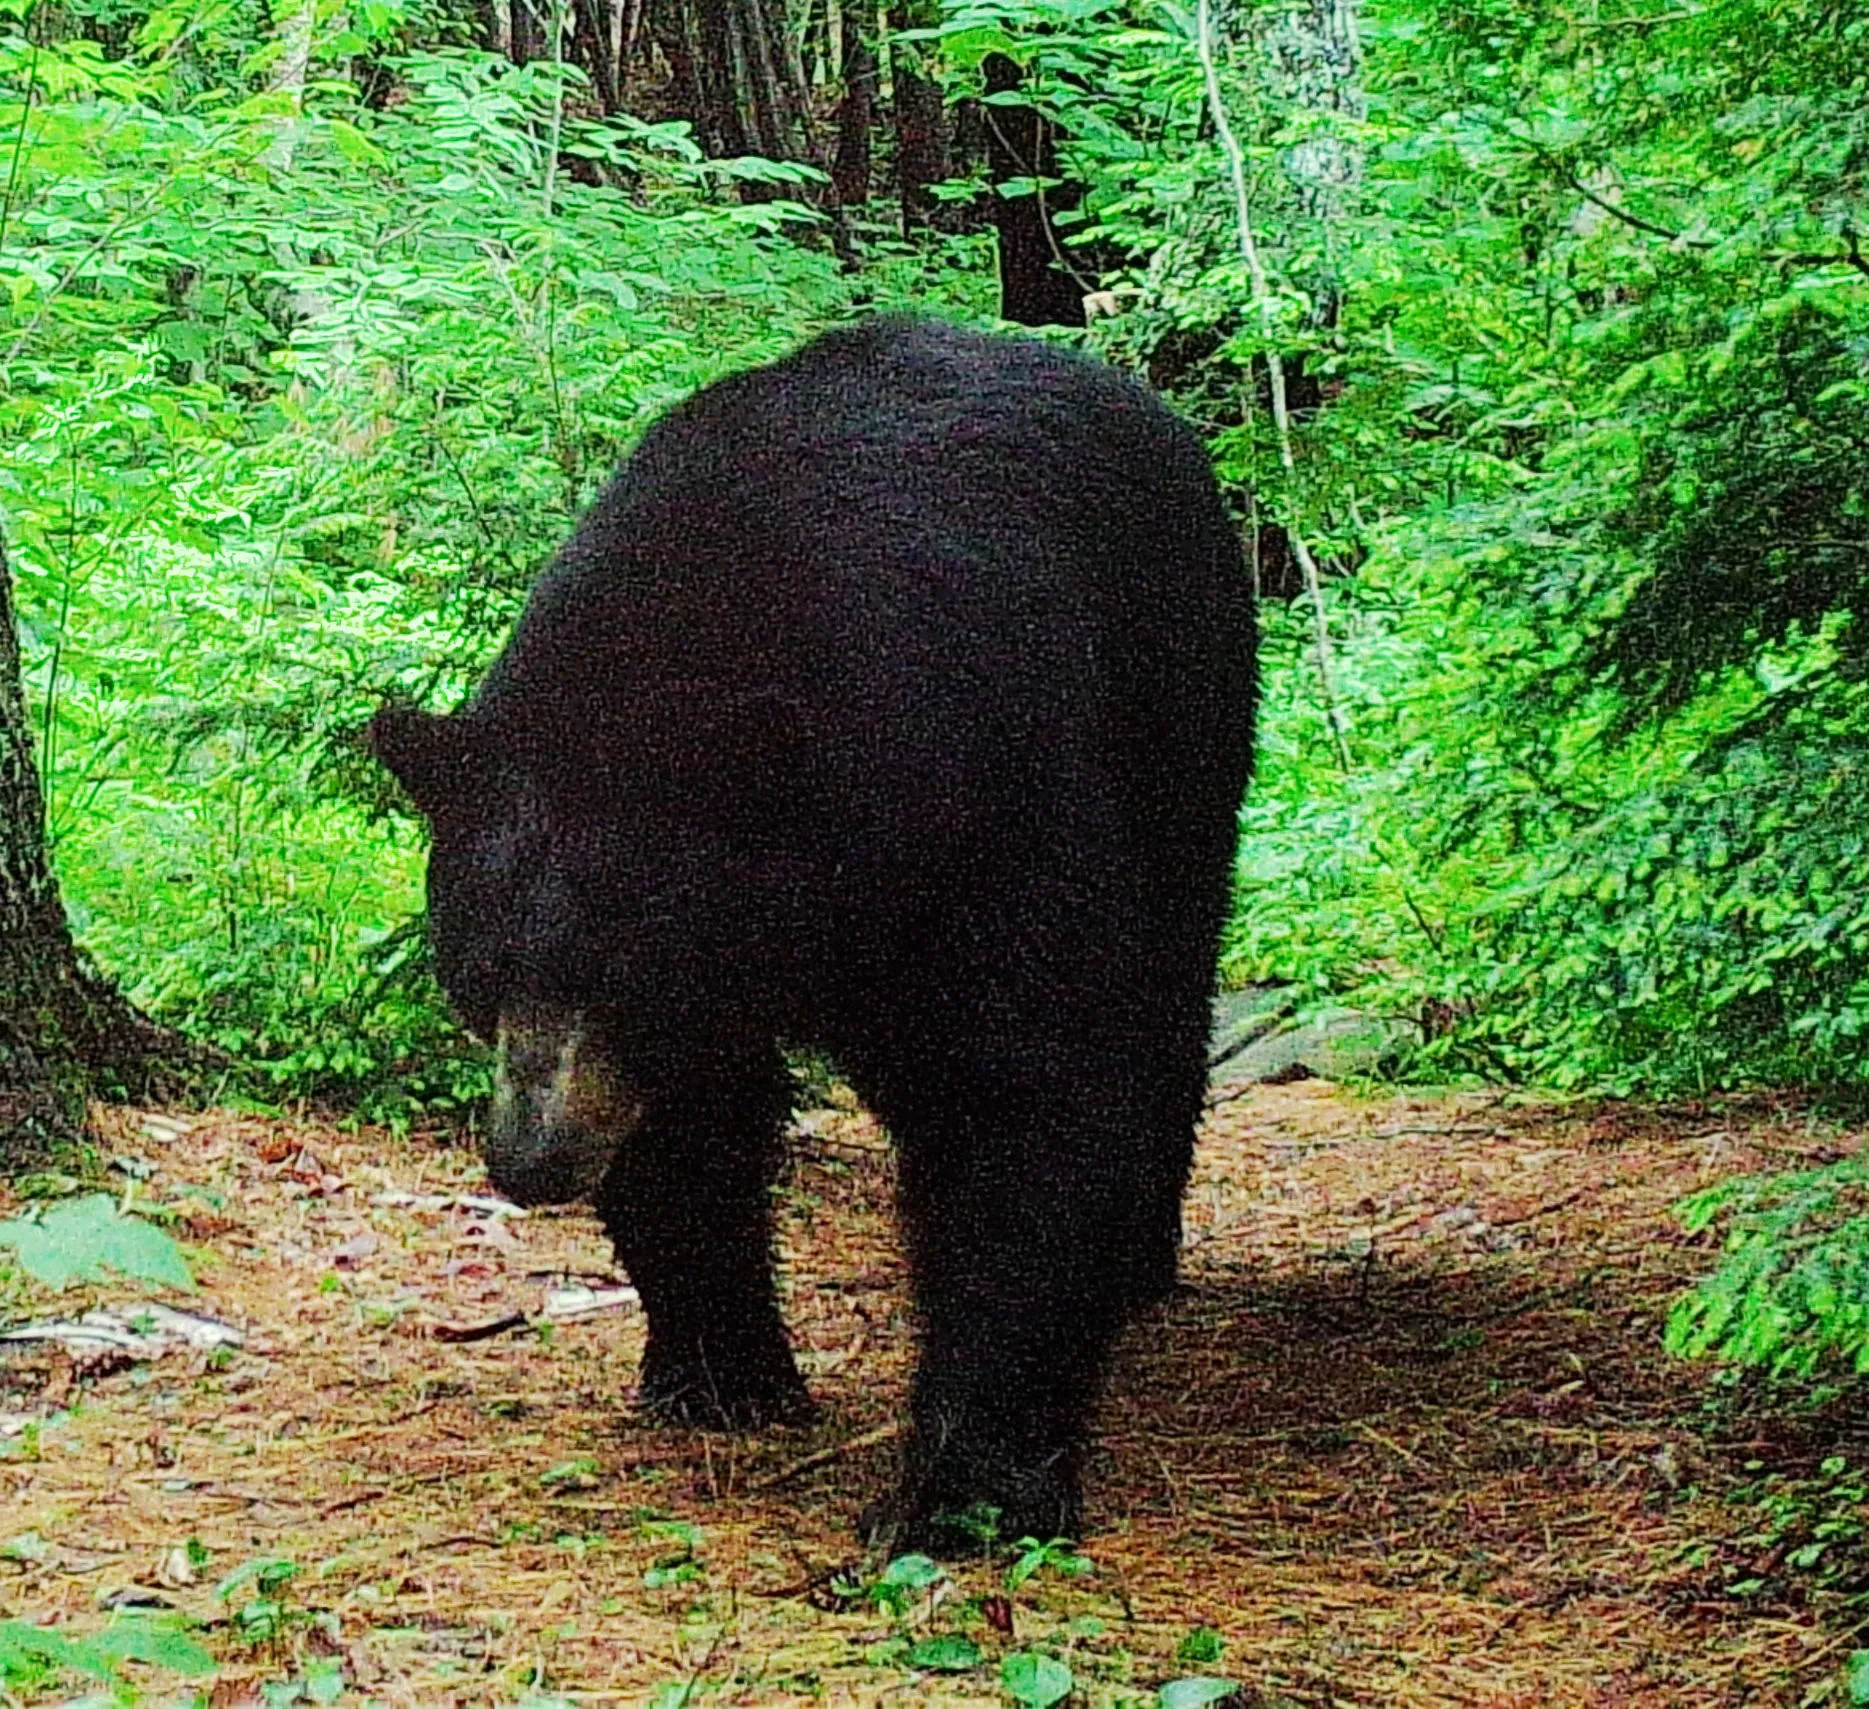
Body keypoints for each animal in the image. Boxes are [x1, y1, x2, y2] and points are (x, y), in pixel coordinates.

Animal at [369, 316, 1257, 1551]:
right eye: (477, 973)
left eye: (623, 973)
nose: (533, 1159)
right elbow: (691, 1122)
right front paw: (720, 1369)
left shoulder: (995, 781)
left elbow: (1022, 1085)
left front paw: (969, 1479)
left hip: (1185, 713)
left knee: (1168, 984)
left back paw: (1135, 1253)